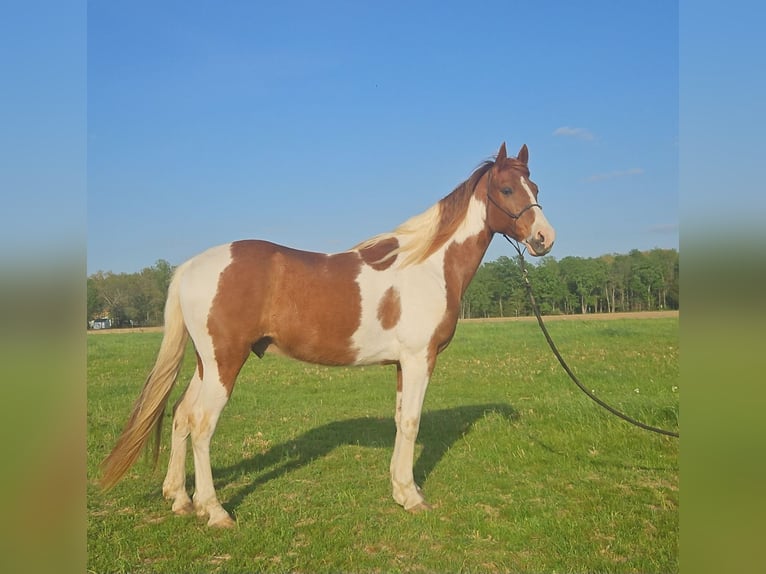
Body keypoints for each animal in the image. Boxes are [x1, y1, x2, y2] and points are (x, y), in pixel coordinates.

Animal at [100, 142, 555, 527]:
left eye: (535, 187)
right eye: (507, 188)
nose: (544, 239)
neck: (428, 266)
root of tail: (189, 268)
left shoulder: (401, 364)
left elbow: (399, 420)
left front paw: (400, 490)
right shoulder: (418, 359)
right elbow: (411, 422)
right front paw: (413, 497)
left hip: (206, 363)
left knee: (180, 415)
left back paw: (179, 498)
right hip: (225, 362)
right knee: (201, 424)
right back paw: (214, 511)